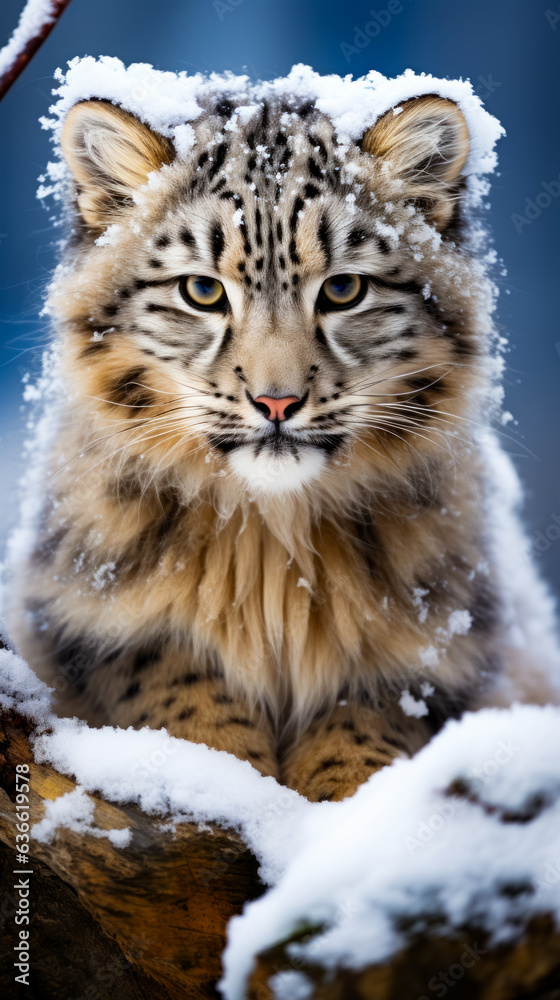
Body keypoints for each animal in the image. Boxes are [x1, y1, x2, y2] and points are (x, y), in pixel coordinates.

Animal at [7, 78, 556, 800]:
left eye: (345, 288)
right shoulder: (91, 620)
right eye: (202, 290)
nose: (276, 400)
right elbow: (172, 685)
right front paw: (220, 774)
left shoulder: (437, 647)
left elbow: (369, 718)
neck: (272, 554)